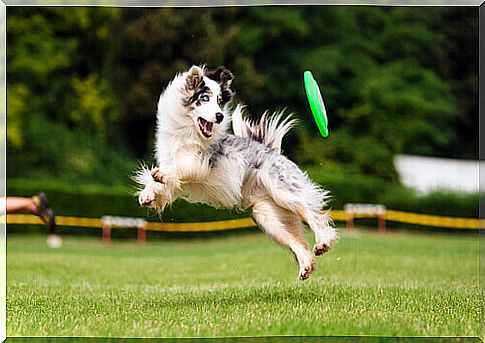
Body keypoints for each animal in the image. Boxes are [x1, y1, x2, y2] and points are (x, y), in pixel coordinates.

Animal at [133, 66, 336, 280]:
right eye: (204, 98)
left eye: (219, 101)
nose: (220, 116)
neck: (186, 131)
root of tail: (272, 150)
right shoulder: (172, 164)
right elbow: (162, 182)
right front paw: (147, 194)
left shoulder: (200, 161)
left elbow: (178, 167)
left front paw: (160, 175)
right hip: (267, 216)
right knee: (297, 241)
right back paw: (305, 266)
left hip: (283, 191)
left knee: (312, 214)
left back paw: (323, 242)